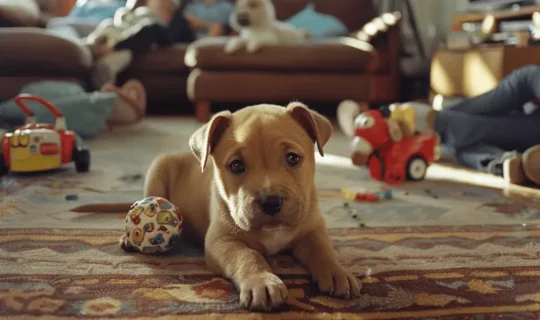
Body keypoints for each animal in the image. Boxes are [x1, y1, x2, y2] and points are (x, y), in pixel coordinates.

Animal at [120, 102, 360, 310]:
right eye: (236, 165)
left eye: (293, 158)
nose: (270, 202)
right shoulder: (222, 241)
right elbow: (247, 255)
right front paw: (262, 281)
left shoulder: (312, 229)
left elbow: (323, 250)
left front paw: (337, 272)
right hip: (159, 168)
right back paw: (129, 238)